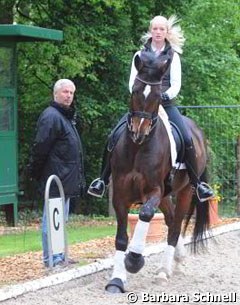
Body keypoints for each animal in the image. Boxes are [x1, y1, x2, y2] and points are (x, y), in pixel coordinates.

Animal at [106, 50, 209, 292]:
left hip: (185, 191)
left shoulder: (152, 191)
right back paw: (177, 260)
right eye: (135, 90)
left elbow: (144, 214)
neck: (138, 148)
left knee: (175, 227)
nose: (139, 132)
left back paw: (163, 271)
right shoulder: (121, 195)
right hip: (165, 196)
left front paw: (134, 260)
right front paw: (117, 280)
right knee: (171, 220)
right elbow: (121, 238)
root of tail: (198, 132)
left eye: (156, 95)